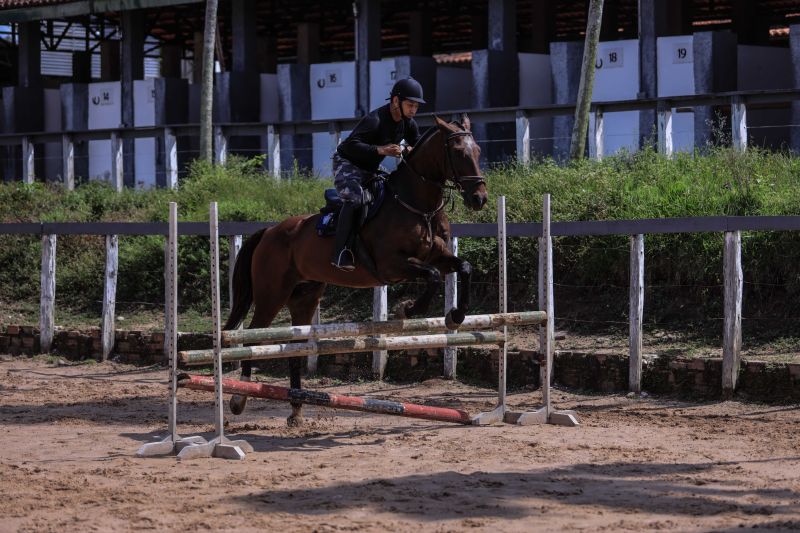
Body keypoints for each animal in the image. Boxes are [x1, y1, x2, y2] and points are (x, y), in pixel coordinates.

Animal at [223, 113, 488, 424]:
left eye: (478, 151)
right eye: (458, 153)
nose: (479, 198)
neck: (417, 205)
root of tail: (269, 231)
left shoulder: (438, 256)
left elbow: (464, 267)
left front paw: (456, 315)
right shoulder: (392, 265)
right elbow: (433, 277)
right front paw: (409, 309)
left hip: (304, 297)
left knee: (295, 346)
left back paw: (296, 408)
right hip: (272, 294)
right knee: (252, 337)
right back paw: (239, 399)